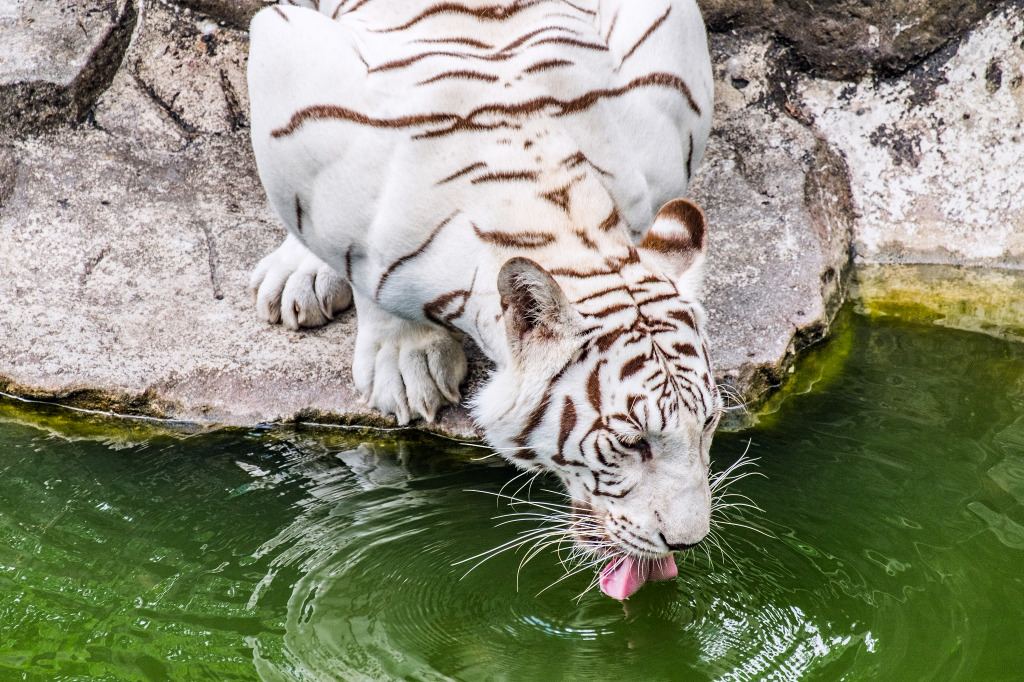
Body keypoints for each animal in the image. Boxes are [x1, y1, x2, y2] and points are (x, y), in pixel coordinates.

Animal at [247, 0, 716, 593]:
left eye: (709, 423)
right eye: (634, 443)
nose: (688, 543)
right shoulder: (290, 80)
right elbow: (362, 271)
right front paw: (406, 366)